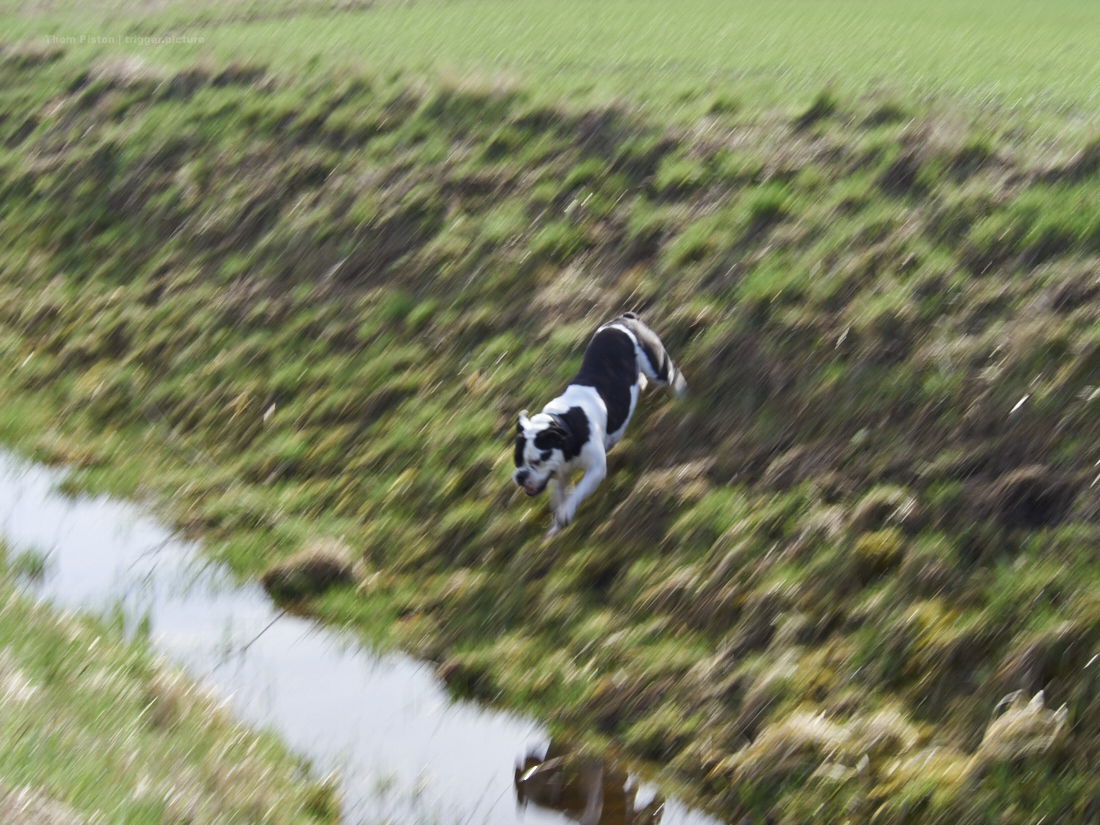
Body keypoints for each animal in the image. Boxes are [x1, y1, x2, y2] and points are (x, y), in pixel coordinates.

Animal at [510, 312, 682, 539]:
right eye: (517, 461)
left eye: (537, 461)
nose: (521, 476)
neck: (565, 426)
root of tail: (623, 319)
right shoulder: (558, 476)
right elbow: (558, 498)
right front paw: (555, 526)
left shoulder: (595, 469)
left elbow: (577, 492)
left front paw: (566, 512)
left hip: (656, 366)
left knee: (671, 373)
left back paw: (680, 393)